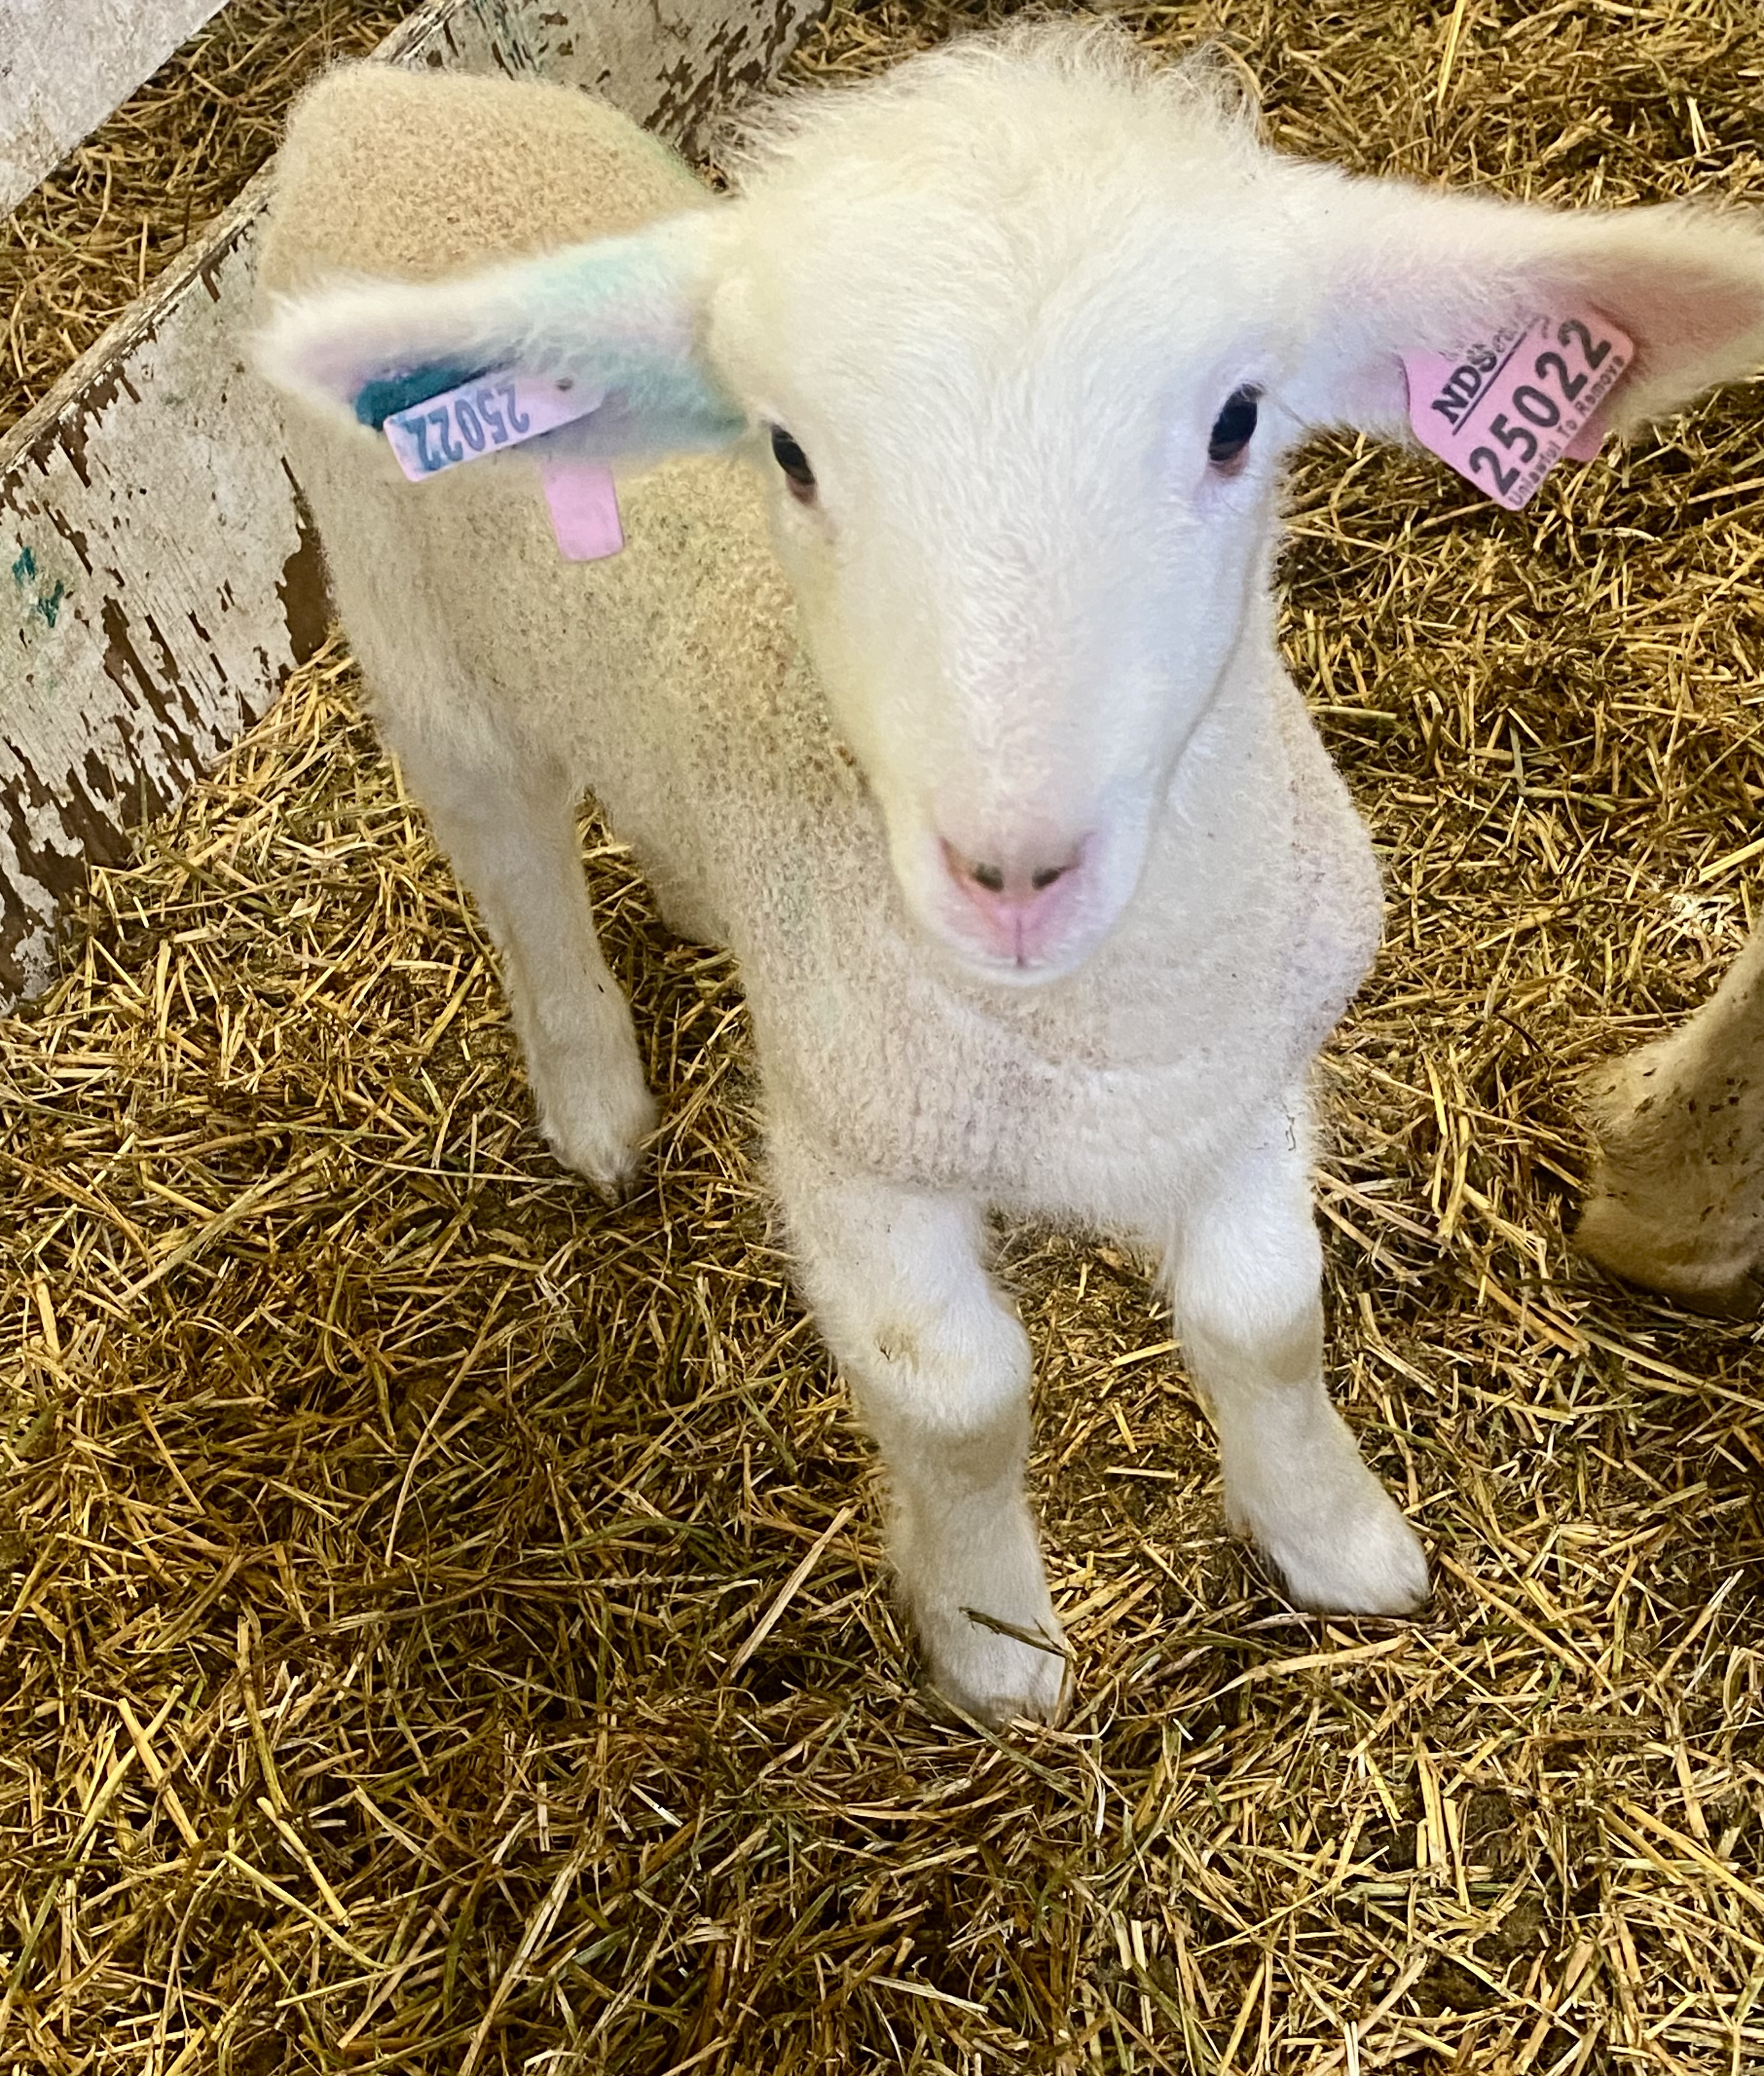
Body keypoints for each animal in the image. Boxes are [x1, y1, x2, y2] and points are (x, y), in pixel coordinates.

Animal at [254, 23, 1764, 1724]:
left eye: (1238, 419)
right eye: (787, 450)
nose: (1011, 870)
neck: (1095, 1033)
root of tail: (372, 96)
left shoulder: (1250, 1079)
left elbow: (1268, 1321)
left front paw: (1337, 1538)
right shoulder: (852, 1156)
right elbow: (961, 1401)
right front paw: (996, 1642)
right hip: (414, 645)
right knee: (514, 865)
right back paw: (593, 1101)